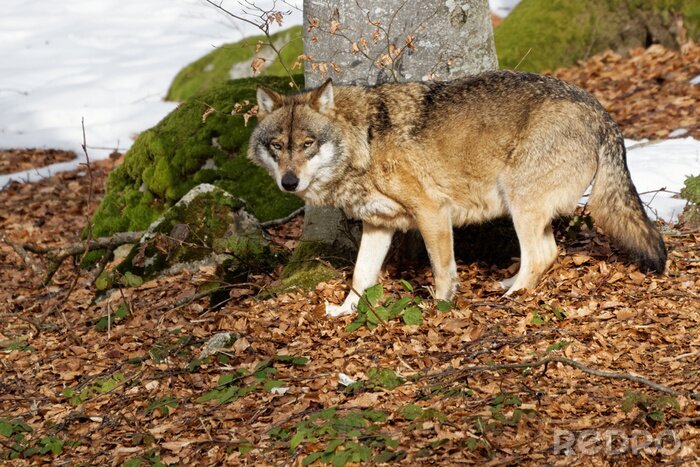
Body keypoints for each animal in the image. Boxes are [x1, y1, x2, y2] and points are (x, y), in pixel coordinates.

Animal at [248, 70, 666, 317]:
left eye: (307, 144)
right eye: (277, 146)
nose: (289, 182)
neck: (365, 141)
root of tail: (600, 111)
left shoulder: (432, 212)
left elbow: (442, 269)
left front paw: (440, 307)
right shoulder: (378, 226)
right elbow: (360, 276)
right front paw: (346, 311)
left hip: (519, 202)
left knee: (542, 255)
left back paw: (512, 297)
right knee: (545, 253)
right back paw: (508, 285)